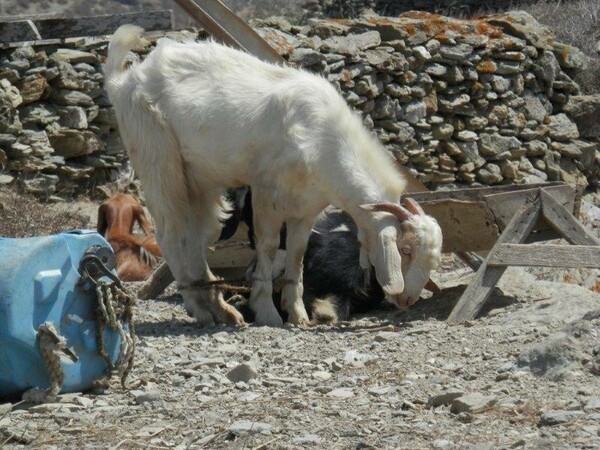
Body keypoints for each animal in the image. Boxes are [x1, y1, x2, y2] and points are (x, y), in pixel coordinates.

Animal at [103, 24, 442, 326]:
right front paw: (267, 311)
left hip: (199, 179)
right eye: (405, 249)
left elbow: (297, 254)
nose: (407, 299)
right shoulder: (265, 192)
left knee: (195, 239)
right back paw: (202, 309)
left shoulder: (307, 207)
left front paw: (297, 314)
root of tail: (122, 80)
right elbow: (267, 247)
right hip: (159, 158)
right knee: (171, 235)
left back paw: (222, 310)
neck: (324, 137)